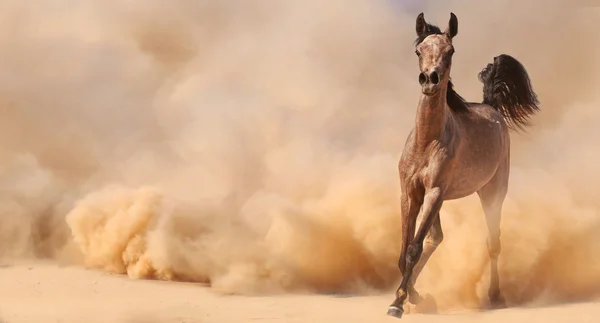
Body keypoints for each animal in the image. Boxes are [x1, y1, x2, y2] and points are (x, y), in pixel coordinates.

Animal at [386, 12, 540, 318]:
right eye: (419, 50)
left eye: (451, 51)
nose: (430, 80)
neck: (427, 141)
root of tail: (491, 106)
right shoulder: (410, 193)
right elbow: (404, 250)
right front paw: (409, 297)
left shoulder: (435, 192)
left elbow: (412, 249)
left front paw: (398, 303)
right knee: (436, 238)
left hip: (492, 193)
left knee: (493, 243)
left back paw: (495, 296)